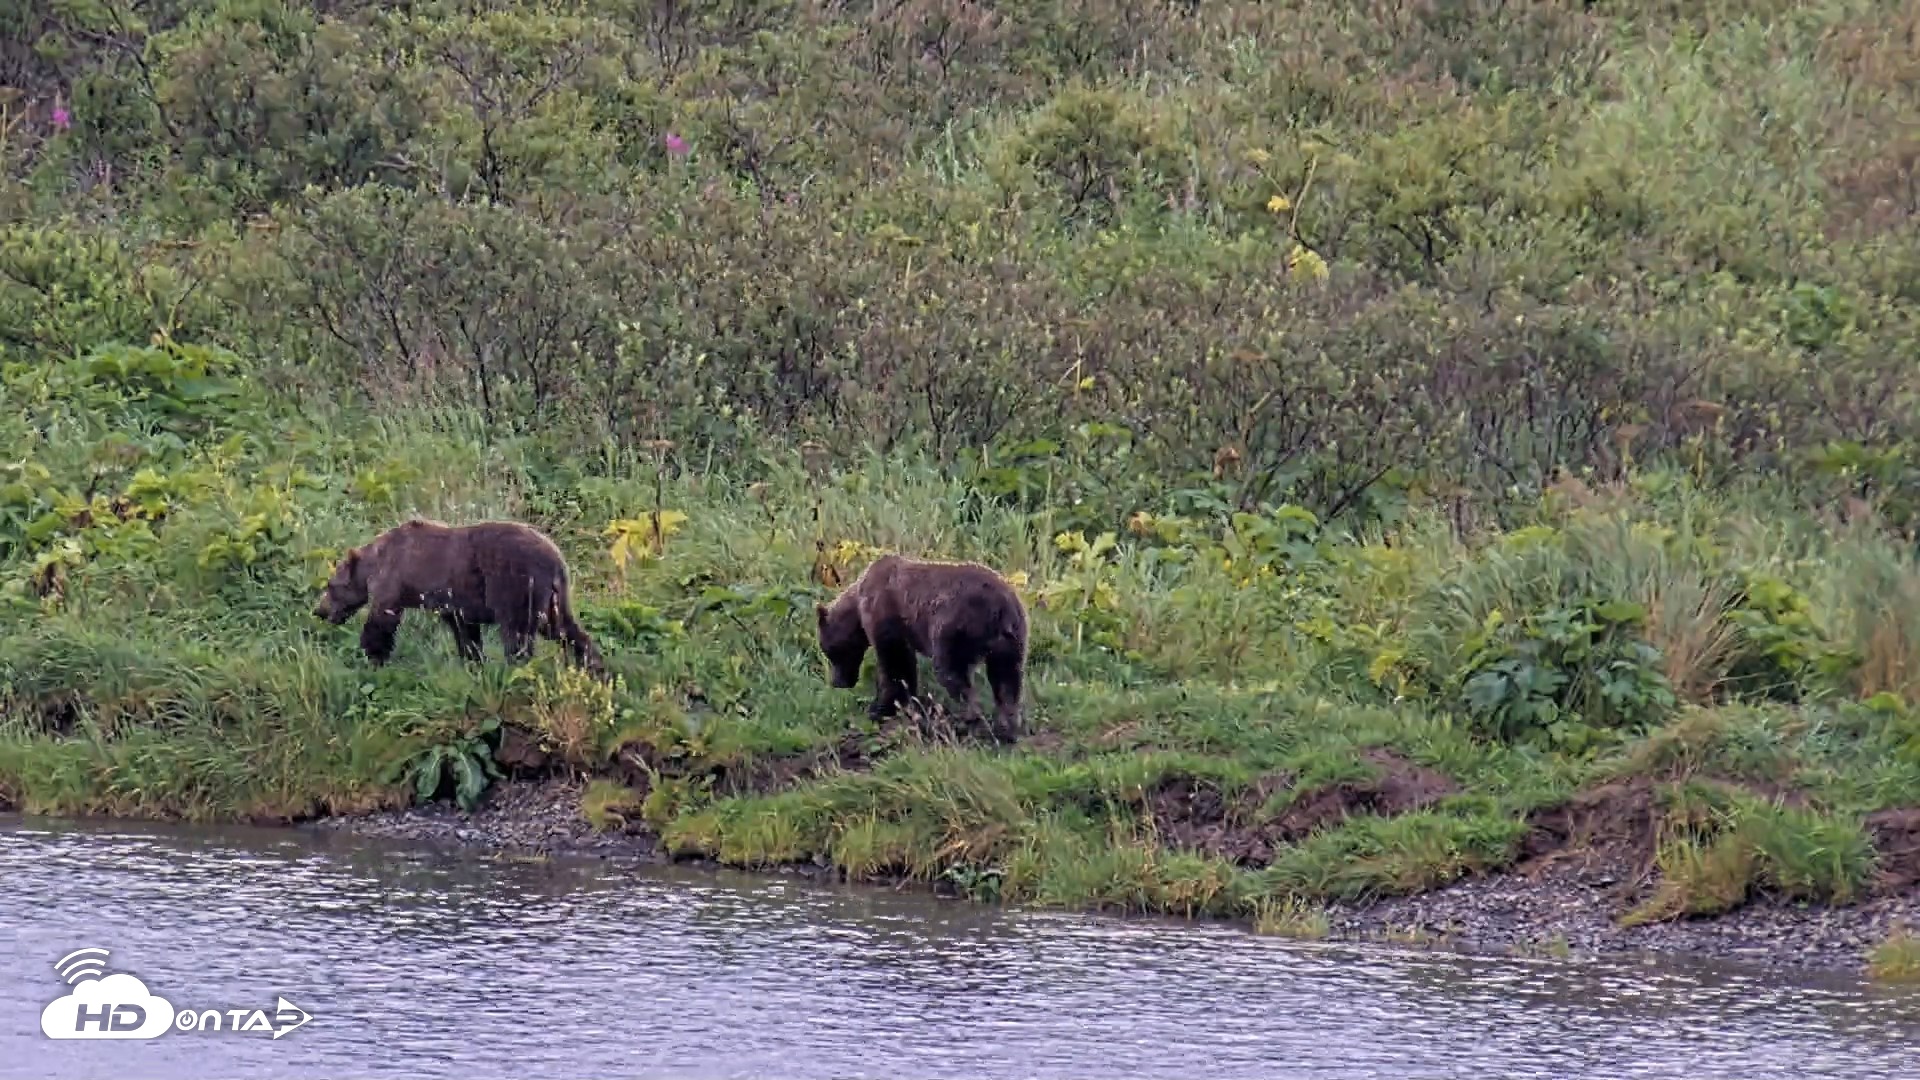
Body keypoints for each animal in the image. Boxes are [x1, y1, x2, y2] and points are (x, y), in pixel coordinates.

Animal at [313, 518, 604, 676]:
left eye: (330, 585)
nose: (319, 610)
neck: (375, 563)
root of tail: (557, 558)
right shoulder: (455, 601)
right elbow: (465, 631)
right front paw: (473, 661)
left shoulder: (394, 581)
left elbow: (381, 622)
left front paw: (373, 656)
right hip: (554, 596)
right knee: (563, 628)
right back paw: (593, 665)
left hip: (516, 584)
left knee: (517, 632)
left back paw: (514, 666)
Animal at [815, 552, 1028, 743]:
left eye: (829, 652)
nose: (837, 682)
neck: (858, 606)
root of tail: (1000, 607)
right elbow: (904, 666)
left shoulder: (885, 614)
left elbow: (894, 664)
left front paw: (880, 708)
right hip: (1011, 640)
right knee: (1007, 680)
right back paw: (1007, 729)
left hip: (953, 628)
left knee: (953, 672)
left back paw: (966, 719)